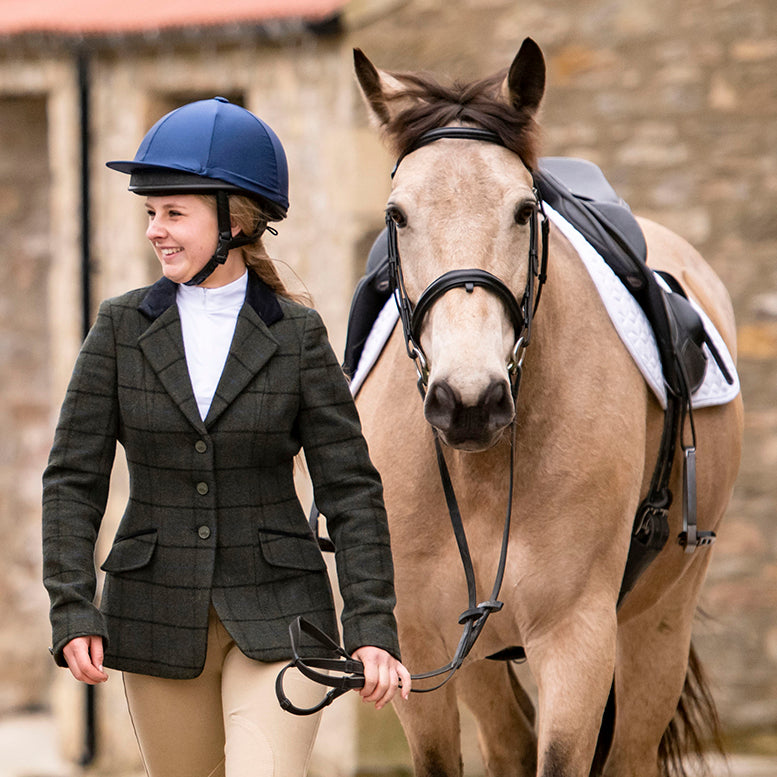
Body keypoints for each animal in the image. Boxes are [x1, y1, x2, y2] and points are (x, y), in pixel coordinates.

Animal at [350, 39, 740, 776]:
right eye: (397, 215)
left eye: (523, 212)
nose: (468, 401)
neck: (481, 468)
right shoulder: (420, 642)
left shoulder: (575, 636)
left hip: (657, 625)